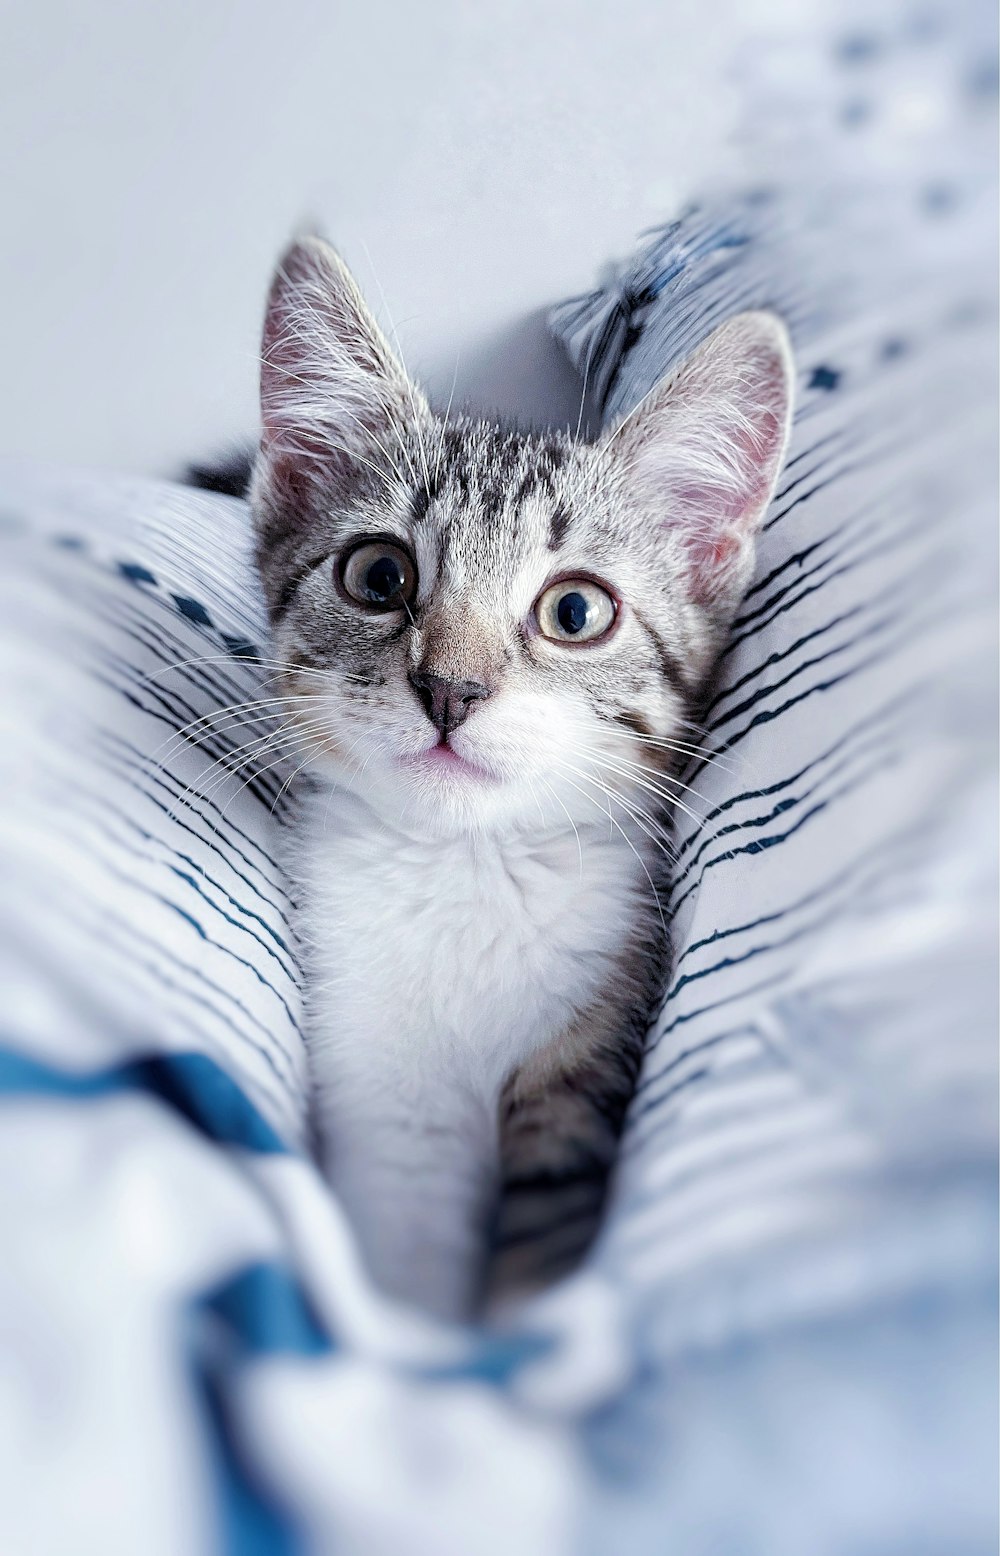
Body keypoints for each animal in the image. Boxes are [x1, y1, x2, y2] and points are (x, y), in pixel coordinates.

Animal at [245, 236, 793, 1319]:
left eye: (575, 611)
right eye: (379, 576)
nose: (450, 689)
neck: (464, 869)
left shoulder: (590, 1062)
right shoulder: (384, 1083)